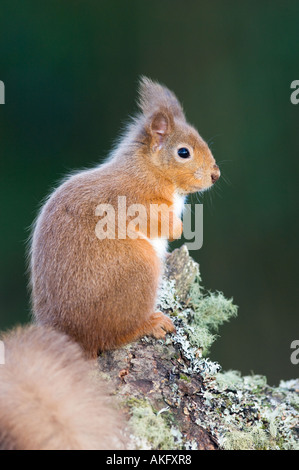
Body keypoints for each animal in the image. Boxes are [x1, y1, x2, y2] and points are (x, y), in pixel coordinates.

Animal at [29, 77, 220, 358]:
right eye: (183, 152)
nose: (215, 175)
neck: (149, 171)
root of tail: (73, 336)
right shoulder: (133, 202)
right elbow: (155, 220)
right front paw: (177, 228)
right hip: (138, 272)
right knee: (113, 335)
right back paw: (150, 324)